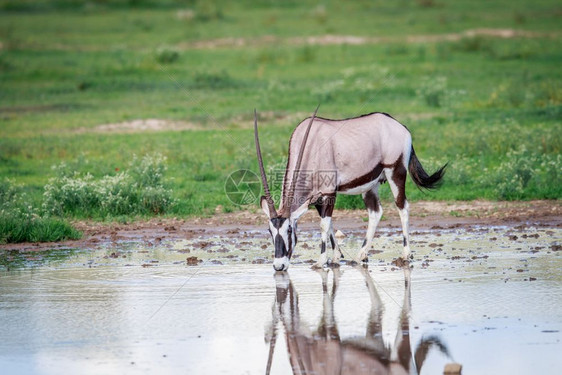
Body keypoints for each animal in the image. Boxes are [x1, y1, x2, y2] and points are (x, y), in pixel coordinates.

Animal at [252, 107, 444, 272]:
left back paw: (405, 255)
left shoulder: (329, 192)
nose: (279, 266)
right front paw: (336, 256)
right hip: (371, 183)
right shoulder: (317, 198)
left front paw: (321, 261)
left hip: (395, 172)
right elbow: (328, 223)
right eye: (270, 231)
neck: (310, 149)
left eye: (289, 230)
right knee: (375, 212)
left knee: (402, 207)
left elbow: (324, 224)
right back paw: (361, 255)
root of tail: (401, 126)